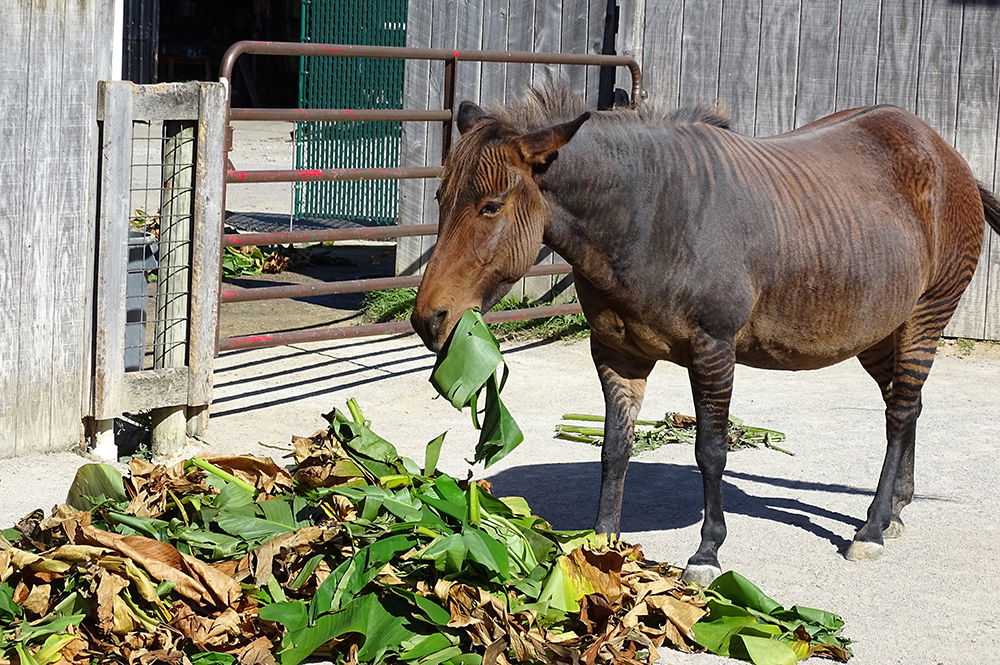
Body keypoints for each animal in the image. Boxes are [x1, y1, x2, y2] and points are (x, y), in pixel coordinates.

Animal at [408, 85, 1000, 584]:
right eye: (440, 199)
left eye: (491, 206)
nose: (426, 320)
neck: (649, 218)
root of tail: (943, 152)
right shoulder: (616, 352)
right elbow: (615, 448)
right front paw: (601, 545)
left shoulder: (713, 348)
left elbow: (711, 450)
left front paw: (708, 552)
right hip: (878, 330)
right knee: (906, 405)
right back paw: (897, 509)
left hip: (926, 313)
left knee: (900, 413)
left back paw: (872, 527)